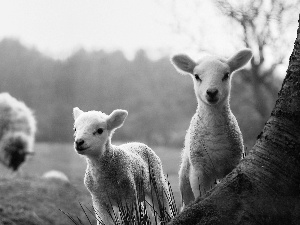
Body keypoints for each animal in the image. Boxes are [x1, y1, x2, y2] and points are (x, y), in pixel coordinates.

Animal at [170, 48, 252, 208]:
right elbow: (201, 195)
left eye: (226, 75)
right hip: (185, 175)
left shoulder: (232, 164)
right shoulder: (199, 171)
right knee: (187, 200)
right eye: (196, 76)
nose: (212, 92)